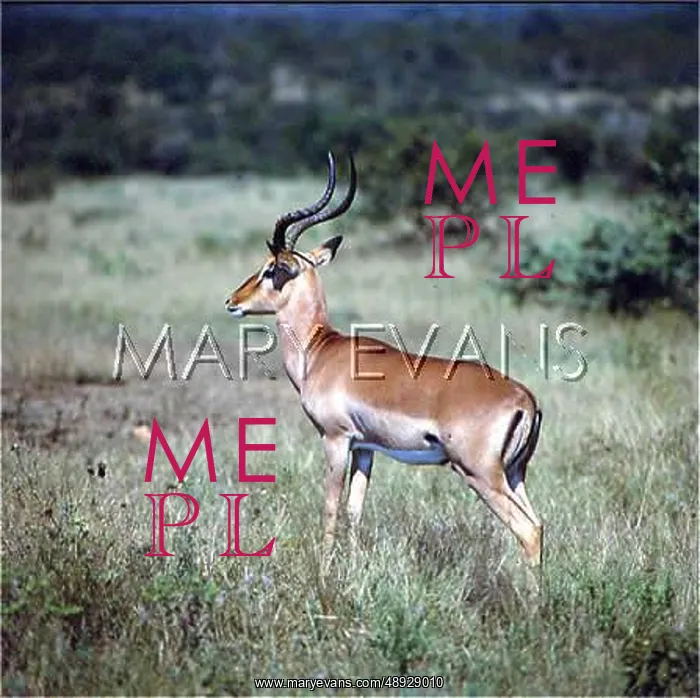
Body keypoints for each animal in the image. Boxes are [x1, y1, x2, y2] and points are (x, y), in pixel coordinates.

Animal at [225, 152, 544, 574]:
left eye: (271, 269)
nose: (232, 301)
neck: (319, 350)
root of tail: (526, 399)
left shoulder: (336, 439)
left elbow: (329, 508)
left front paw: (324, 575)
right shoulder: (366, 448)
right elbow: (354, 509)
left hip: (479, 473)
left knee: (528, 531)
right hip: (514, 473)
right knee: (540, 523)